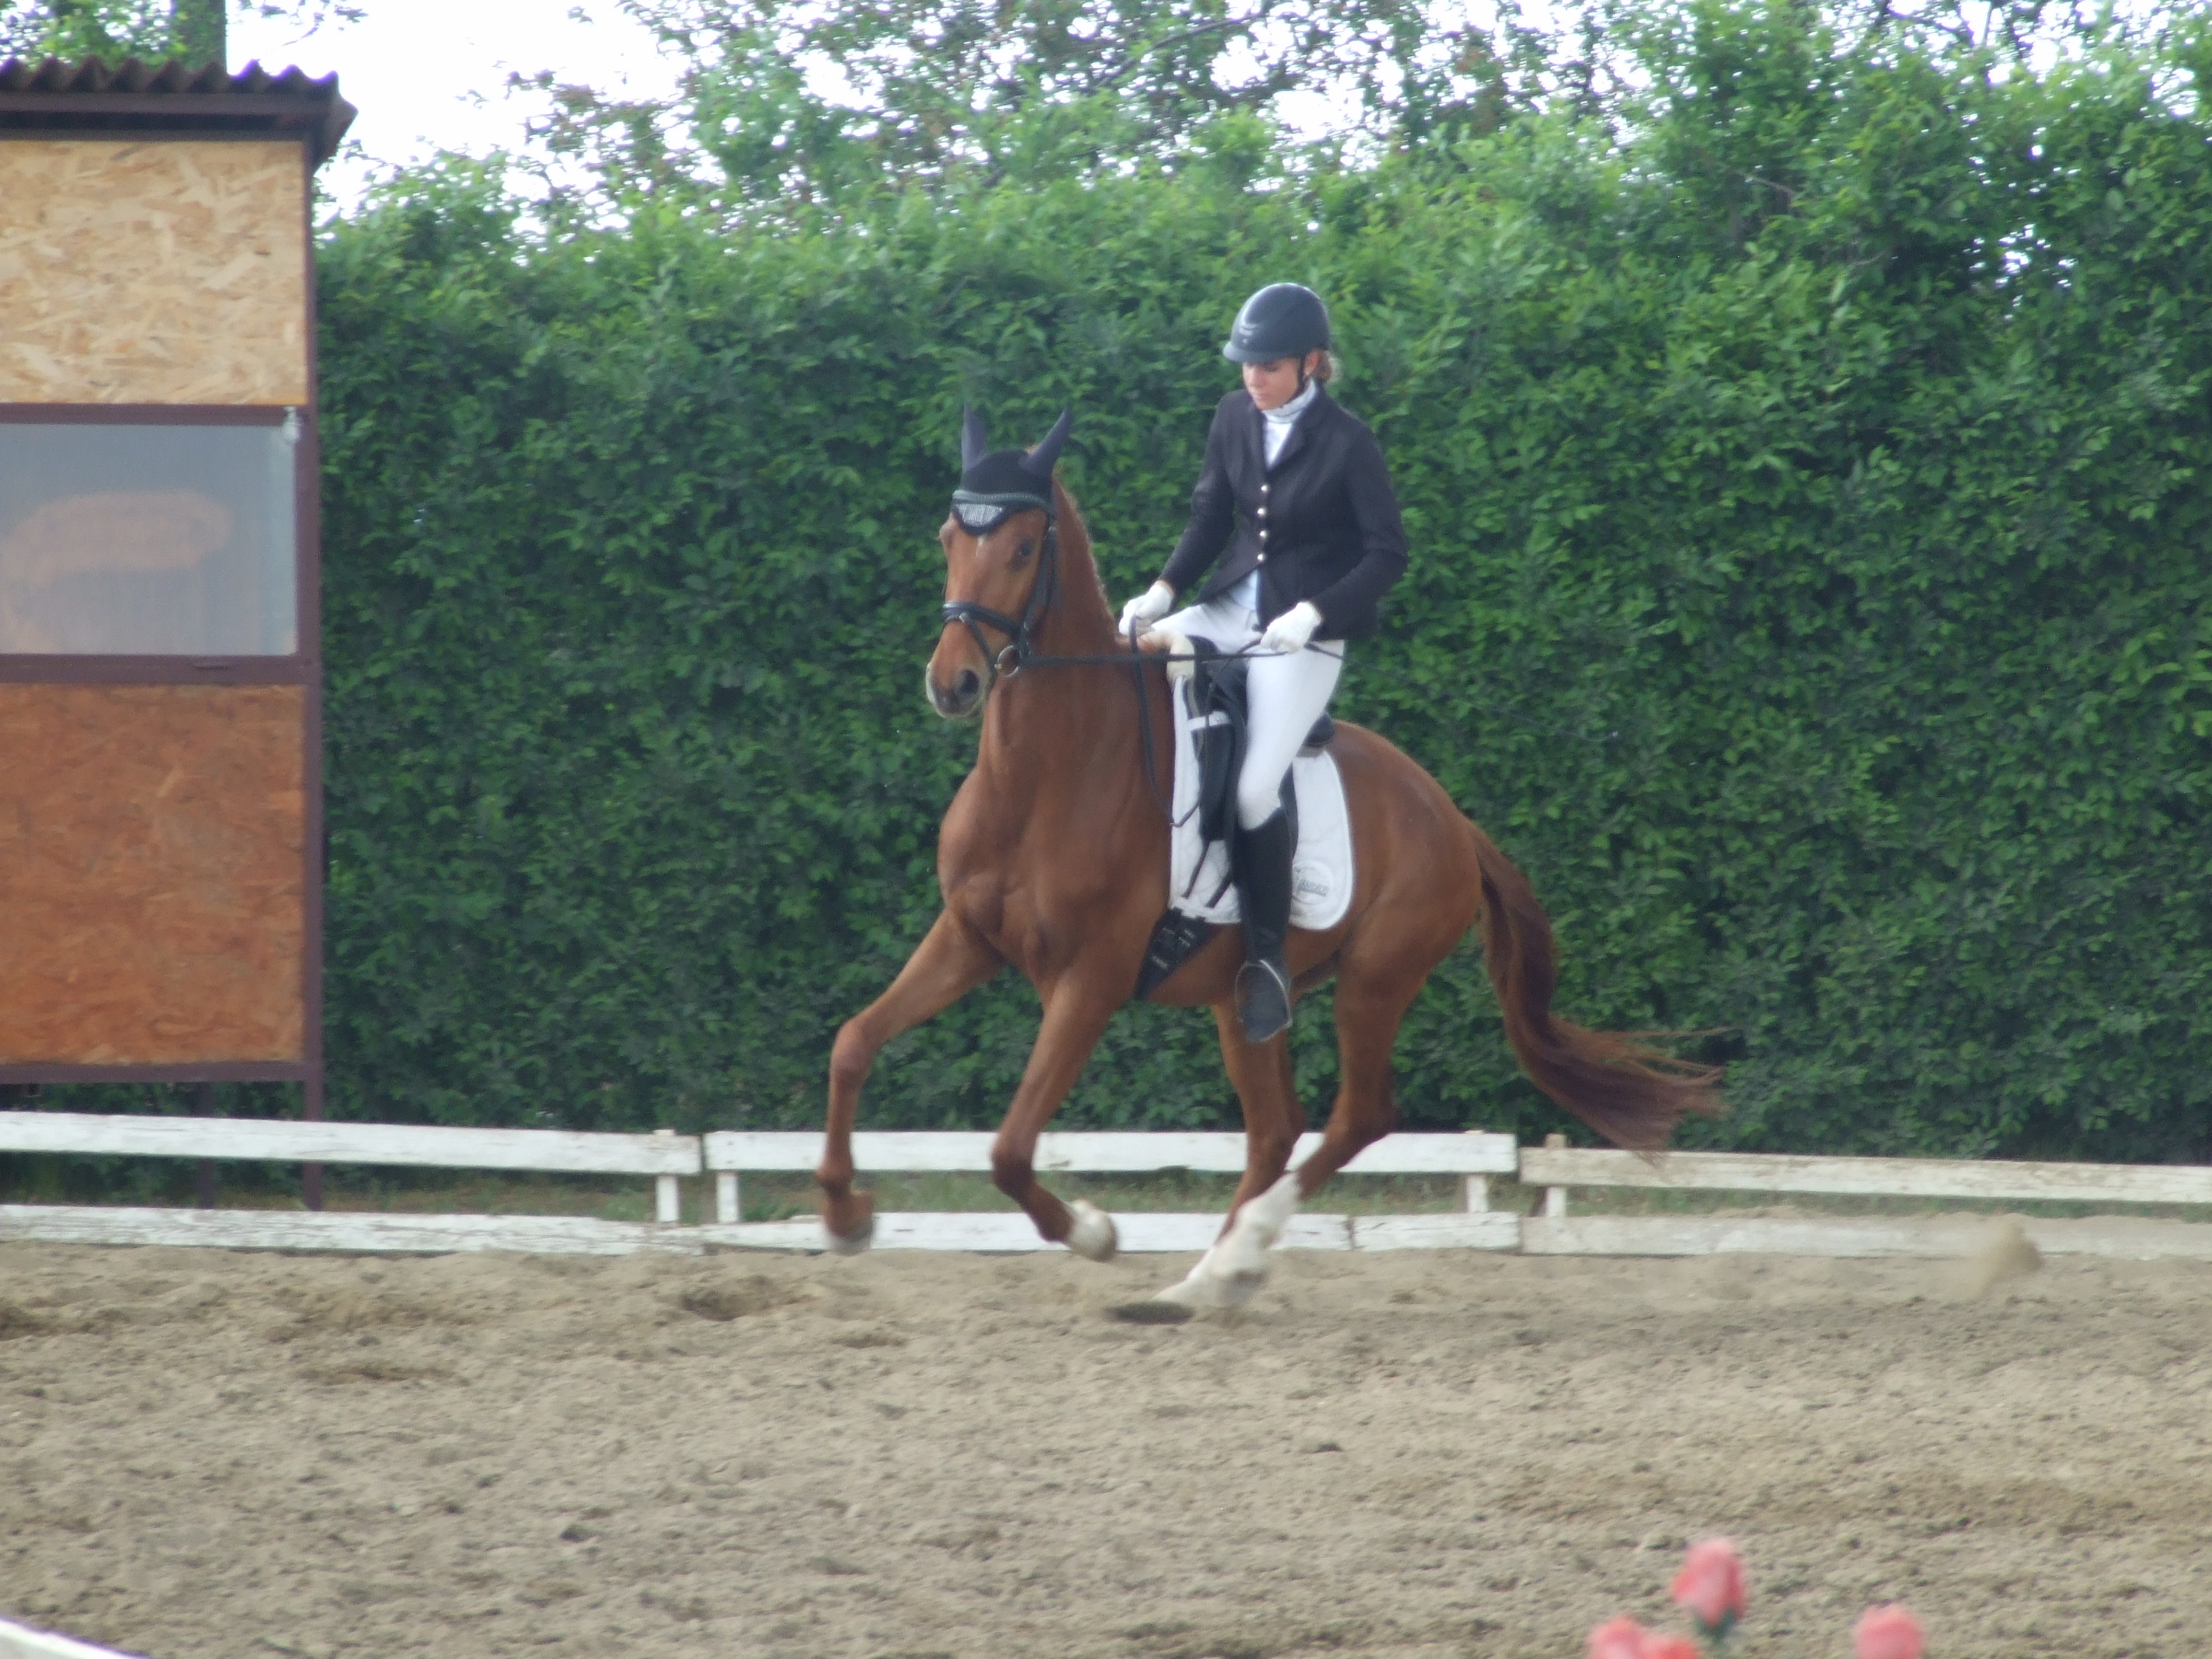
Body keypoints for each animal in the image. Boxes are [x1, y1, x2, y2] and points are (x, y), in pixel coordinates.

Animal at [816, 411, 1722, 1310]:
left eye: (1023, 548)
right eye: (948, 537)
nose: (954, 684)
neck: (1047, 774)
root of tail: (1452, 820)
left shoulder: (1089, 982)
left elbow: (1007, 1150)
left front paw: (1094, 1233)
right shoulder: (968, 938)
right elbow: (853, 1042)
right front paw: (845, 1216)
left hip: (1375, 980)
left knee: (1358, 1117)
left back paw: (1234, 1256)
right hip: (1241, 997)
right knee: (1276, 1128)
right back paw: (1203, 1281)